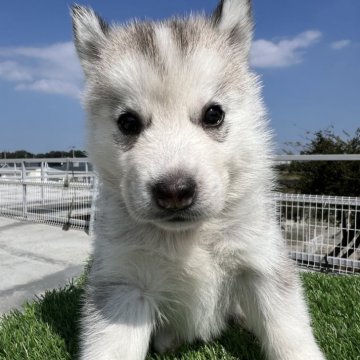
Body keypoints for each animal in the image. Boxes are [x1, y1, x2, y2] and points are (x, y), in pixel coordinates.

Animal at [71, 1, 324, 358]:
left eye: (213, 114)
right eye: (128, 122)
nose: (174, 191)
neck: (188, 238)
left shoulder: (261, 263)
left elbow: (288, 330)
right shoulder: (124, 284)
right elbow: (111, 346)